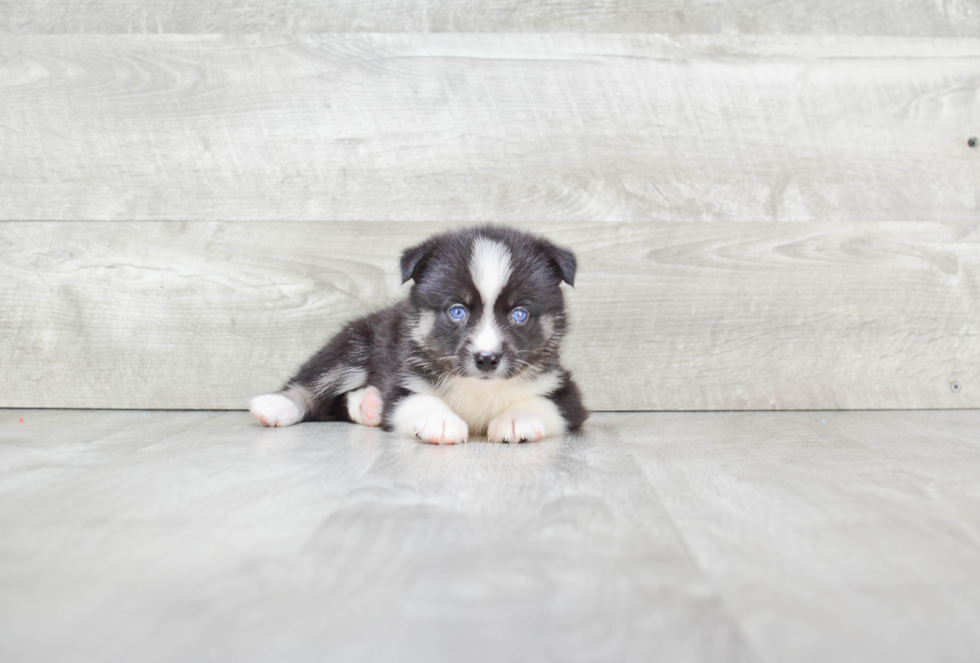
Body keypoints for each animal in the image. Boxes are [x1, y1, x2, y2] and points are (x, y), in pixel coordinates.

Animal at [253, 224, 588, 446]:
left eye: (520, 315)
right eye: (457, 311)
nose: (486, 359)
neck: (478, 388)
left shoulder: (565, 391)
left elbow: (545, 403)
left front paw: (517, 419)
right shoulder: (404, 378)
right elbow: (415, 400)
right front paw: (440, 421)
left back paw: (368, 405)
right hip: (356, 342)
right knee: (315, 382)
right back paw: (278, 405)